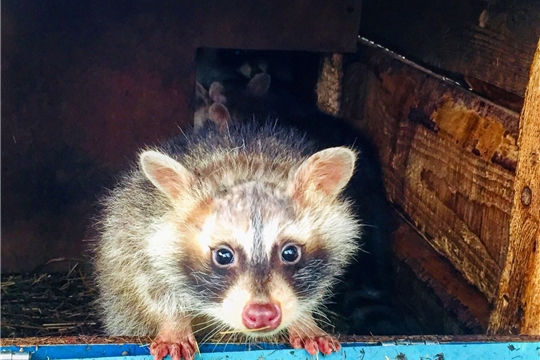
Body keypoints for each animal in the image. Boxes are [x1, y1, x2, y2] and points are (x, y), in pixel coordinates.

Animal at [94, 121, 360, 360]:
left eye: (290, 253)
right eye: (223, 255)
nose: (262, 314)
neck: (246, 166)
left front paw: (305, 320)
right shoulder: (138, 234)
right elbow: (151, 284)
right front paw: (174, 322)